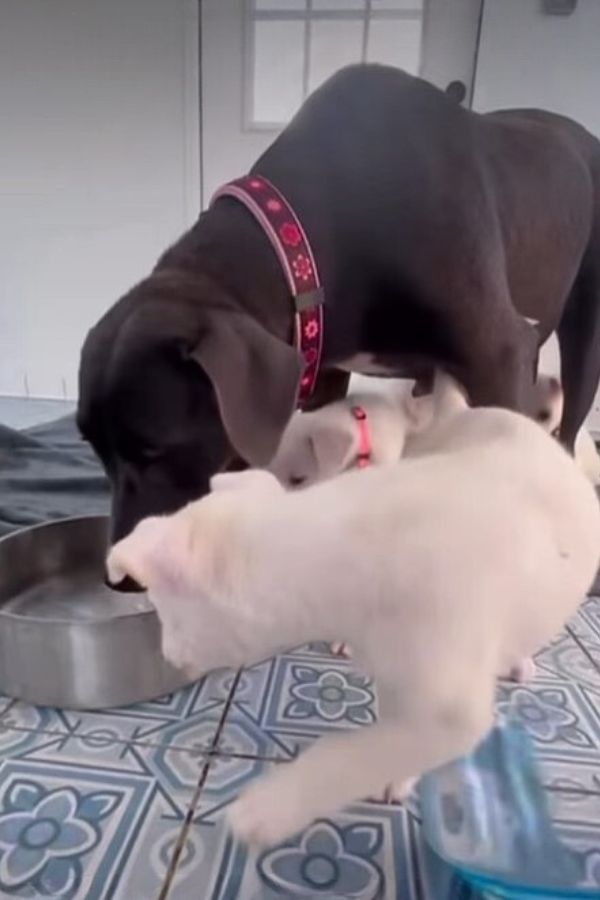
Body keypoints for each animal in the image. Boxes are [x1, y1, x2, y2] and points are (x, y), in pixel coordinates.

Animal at [108, 372, 600, 852]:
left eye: (167, 614)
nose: (168, 656)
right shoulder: (398, 675)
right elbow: (393, 735)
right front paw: (396, 775)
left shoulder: (450, 709)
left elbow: (356, 753)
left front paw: (269, 807)